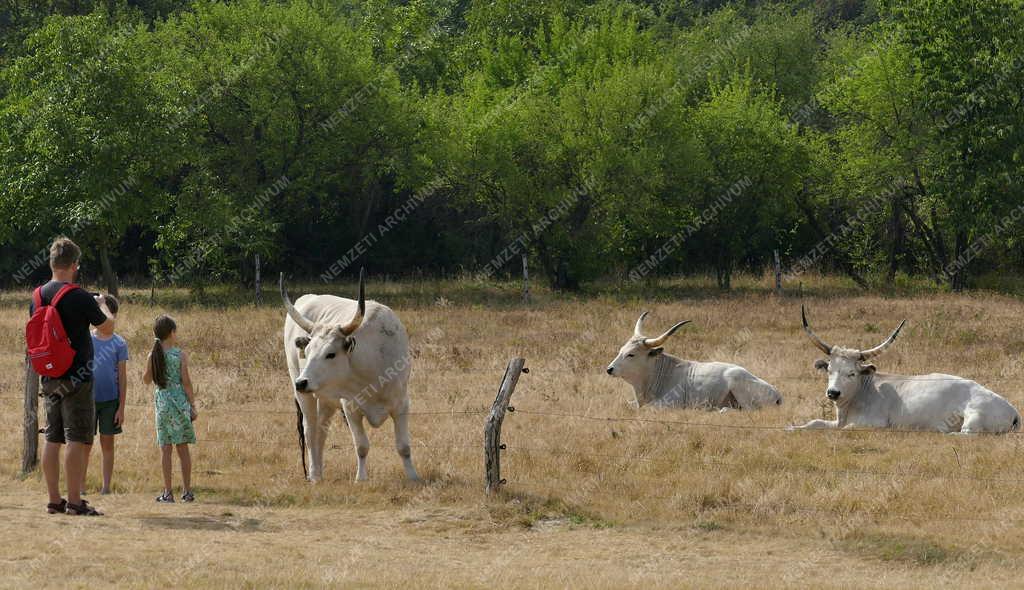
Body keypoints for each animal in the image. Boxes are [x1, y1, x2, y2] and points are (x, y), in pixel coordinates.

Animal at [278, 272, 417, 483]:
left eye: (331, 354)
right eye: (307, 352)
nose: (301, 382)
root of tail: (308, 297)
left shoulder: (402, 404)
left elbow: (404, 446)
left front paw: (413, 477)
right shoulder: (350, 408)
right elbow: (361, 446)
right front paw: (361, 479)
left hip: (325, 399)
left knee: (321, 431)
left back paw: (320, 472)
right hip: (305, 396)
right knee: (310, 431)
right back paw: (314, 474)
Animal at [602, 313, 778, 409]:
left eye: (631, 354)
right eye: (621, 350)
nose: (609, 369)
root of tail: (777, 393)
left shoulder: (669, 404)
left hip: (738, 385)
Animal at [790, 303, 1015, 434]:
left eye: (851, 373)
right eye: (829, 370)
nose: (833, 393)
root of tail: (1013, 410)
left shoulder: (874, 423)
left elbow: (845, 430)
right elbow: (815, 423)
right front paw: (792, 427)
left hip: (973, 418)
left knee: (966, 433)